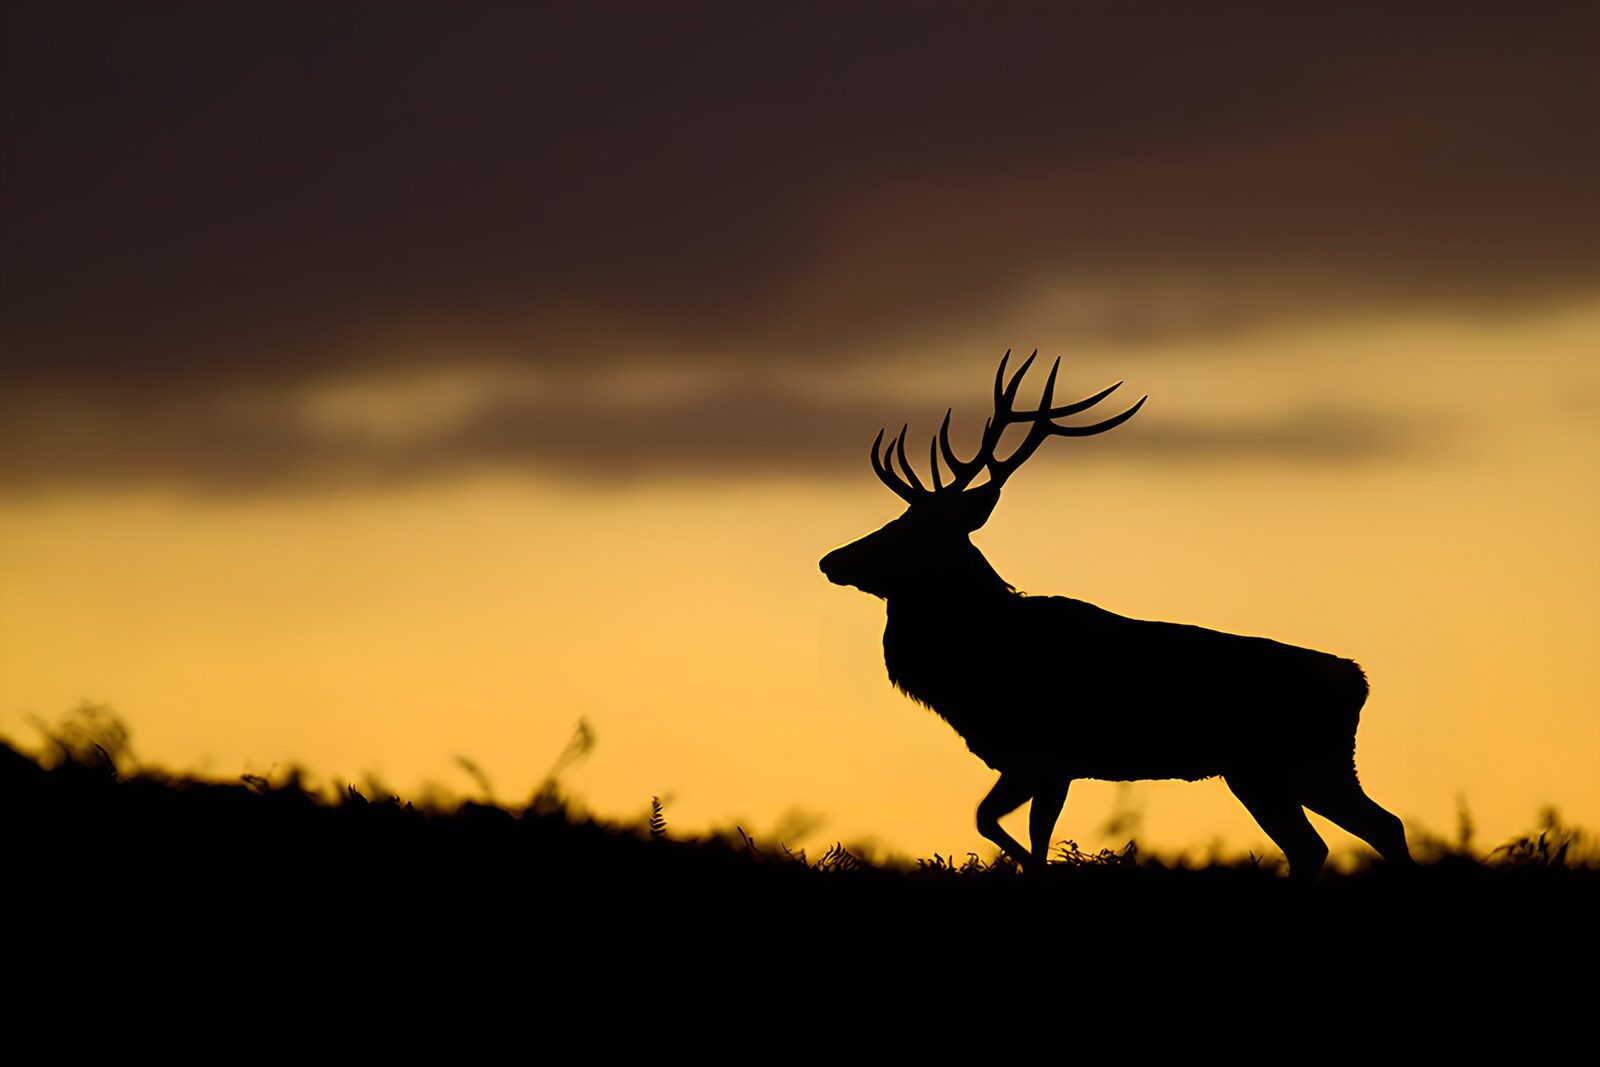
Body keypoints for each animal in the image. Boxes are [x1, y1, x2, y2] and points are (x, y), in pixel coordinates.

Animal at [819, 352, 1412, 879]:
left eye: (910, 531)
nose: (831, 560)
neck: (967, 675)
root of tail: (1356, 680)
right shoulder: (1033, 762)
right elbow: (997, 823)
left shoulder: (1047, 754)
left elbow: (1017, 831)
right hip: (1282, 770)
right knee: (1346, 838)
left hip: (1287, 763)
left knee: (1361, 833)